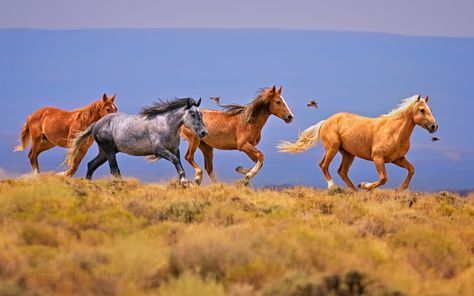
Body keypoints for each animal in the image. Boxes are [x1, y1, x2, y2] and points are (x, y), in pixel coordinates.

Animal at [65, 97, 206, 185]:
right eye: (193, 114)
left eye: (201, 114)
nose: (204, 132)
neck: (165, 124)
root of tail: (96, 124)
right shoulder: (159, 150)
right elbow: (176, 161)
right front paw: (185, 182)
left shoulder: (174, 149)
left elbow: (178, 162)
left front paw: (186, 181)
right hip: (109, 150)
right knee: (114, 169)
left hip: (104, 152)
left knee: (91, 165)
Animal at [280, 96, 438, 191]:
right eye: (422, 110)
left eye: (430, 109)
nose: (434, 126)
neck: (394, 132)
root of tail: (325, 122)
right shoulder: (378, 158)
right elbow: (383, 178)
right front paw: (365, 185)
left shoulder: (397, 159)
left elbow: (411, 169)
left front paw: (401, 189)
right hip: (332, 148)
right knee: (324, 165)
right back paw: (333, 187)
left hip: (348, 154)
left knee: (342, 171)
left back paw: (354, 191)